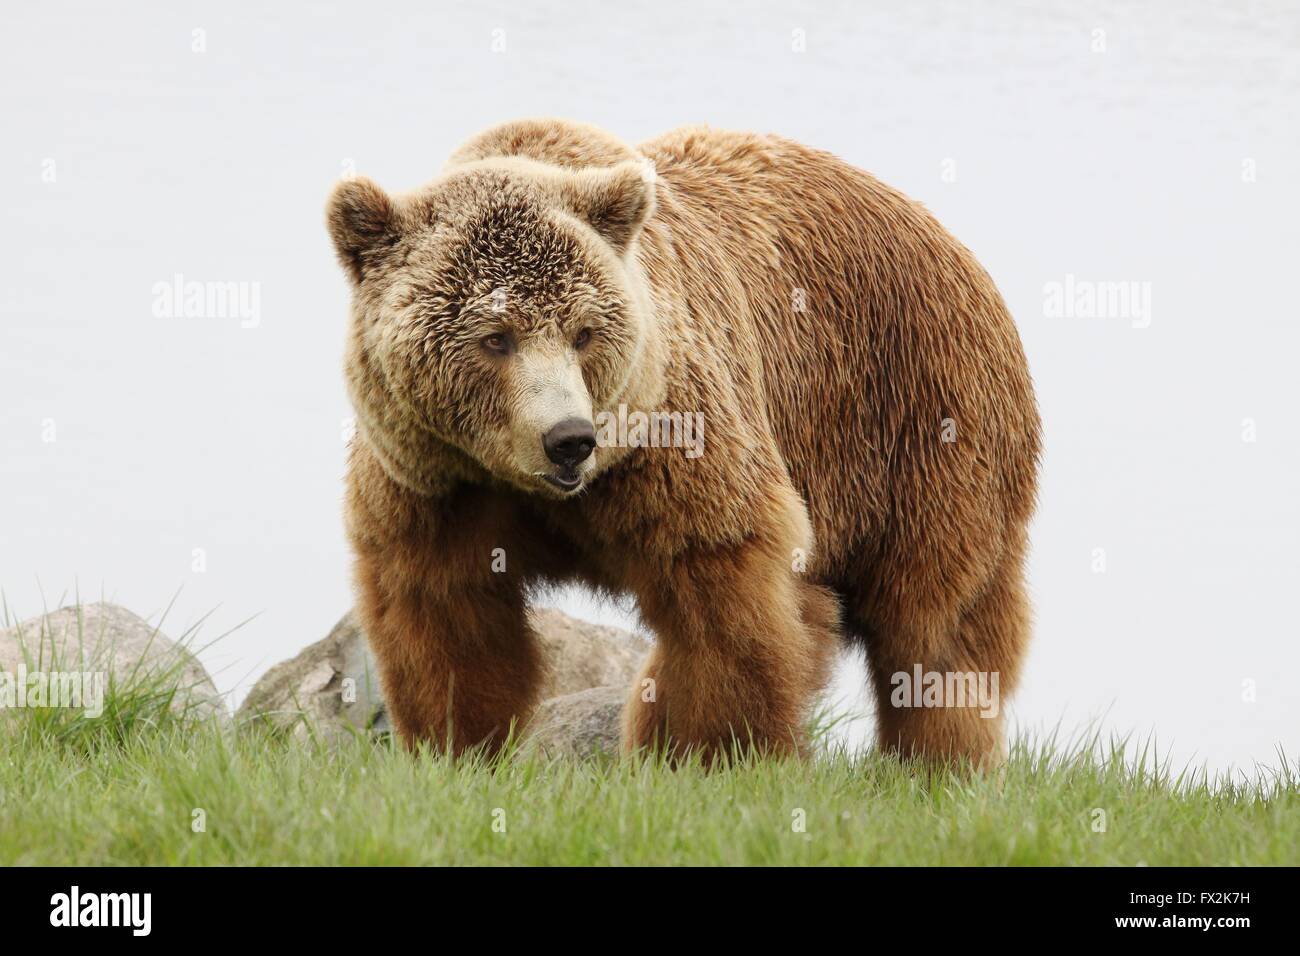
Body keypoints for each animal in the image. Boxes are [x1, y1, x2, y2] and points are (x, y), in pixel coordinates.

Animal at [330, 115, 1040, 764]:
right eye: (495, 337)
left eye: (583, 332)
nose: (569, 439)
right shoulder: (434, 479)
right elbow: (446, 614)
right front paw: (459, 747)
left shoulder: (671, 439)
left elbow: (724, 594)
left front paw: (710, 753)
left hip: (920, 420)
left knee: (936, 620)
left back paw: (939, 759)